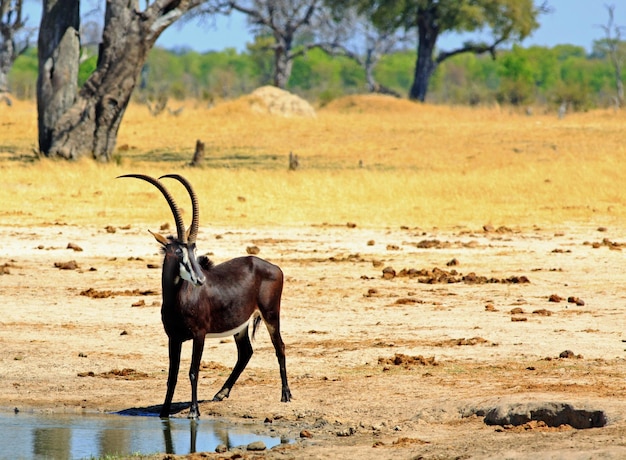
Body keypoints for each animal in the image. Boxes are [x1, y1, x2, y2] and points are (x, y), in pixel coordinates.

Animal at [117, 174, 290, 418]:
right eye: (178, 250)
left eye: (194, 248)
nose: (200, 279)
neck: (178, 300)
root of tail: (273, 267)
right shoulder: (173, 337)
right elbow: (172, 375)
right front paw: (164, 412)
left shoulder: (199, 335)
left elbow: (193, 371)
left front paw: (194, 412)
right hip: (240, 326)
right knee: (245, 352)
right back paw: (221, 393)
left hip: (271, 314)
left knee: (279, 346)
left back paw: (285, 395)